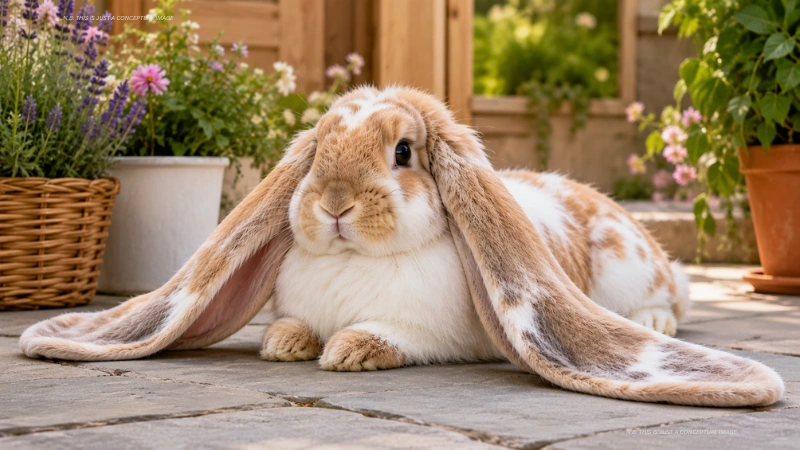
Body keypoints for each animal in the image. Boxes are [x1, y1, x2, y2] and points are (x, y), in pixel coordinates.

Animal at [19, 86, 783, 408]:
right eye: (317, 152)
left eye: (403, 151)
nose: (334, 204)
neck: (356, 263)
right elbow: (292, 328)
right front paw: (287, 344)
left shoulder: (435, 333)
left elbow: (386, 336)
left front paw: (347, 351)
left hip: (634, 271)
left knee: (673, 299)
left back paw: (655, 319)